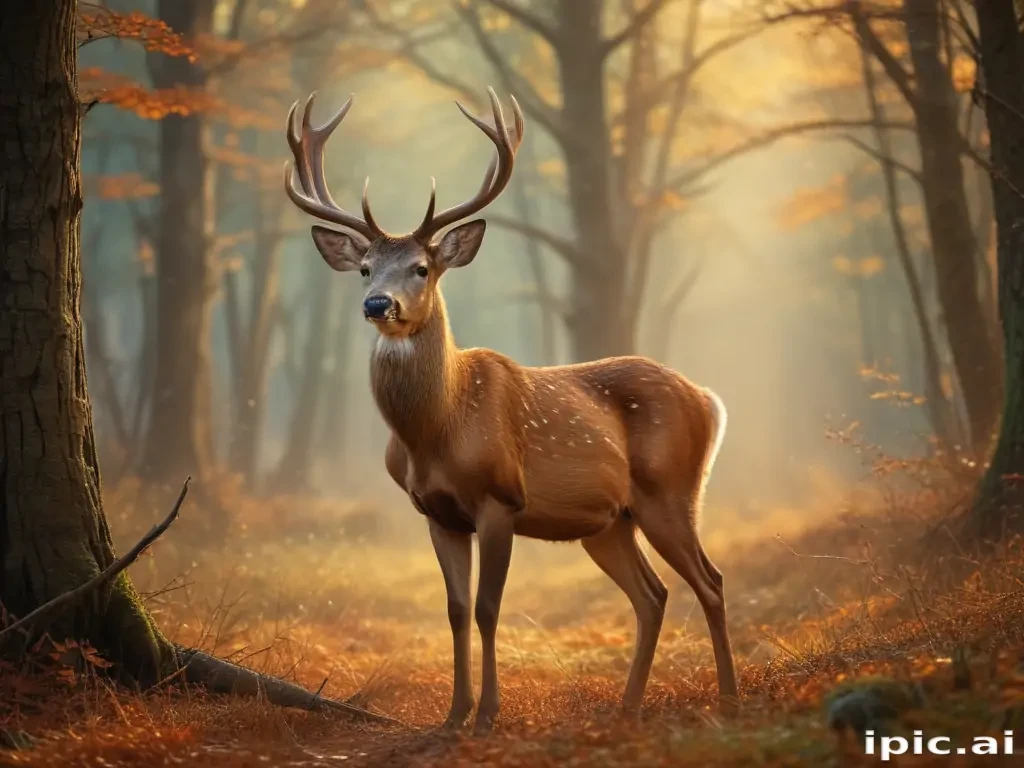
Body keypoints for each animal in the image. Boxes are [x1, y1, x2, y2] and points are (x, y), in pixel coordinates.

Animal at [283, 87, 738, 735]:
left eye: (422, 267)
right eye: (366, 268)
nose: (377, 304)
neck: (436, 431)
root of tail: (707, 398)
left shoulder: (500, 498)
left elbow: (488, 608)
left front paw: (487, 716)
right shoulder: (436, 512)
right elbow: (453, 608)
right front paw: (453, 715)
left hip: (670, 491)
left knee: (711, 580)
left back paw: (728, 700)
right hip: (610, 522)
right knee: (653, 595)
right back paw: (627, 707)